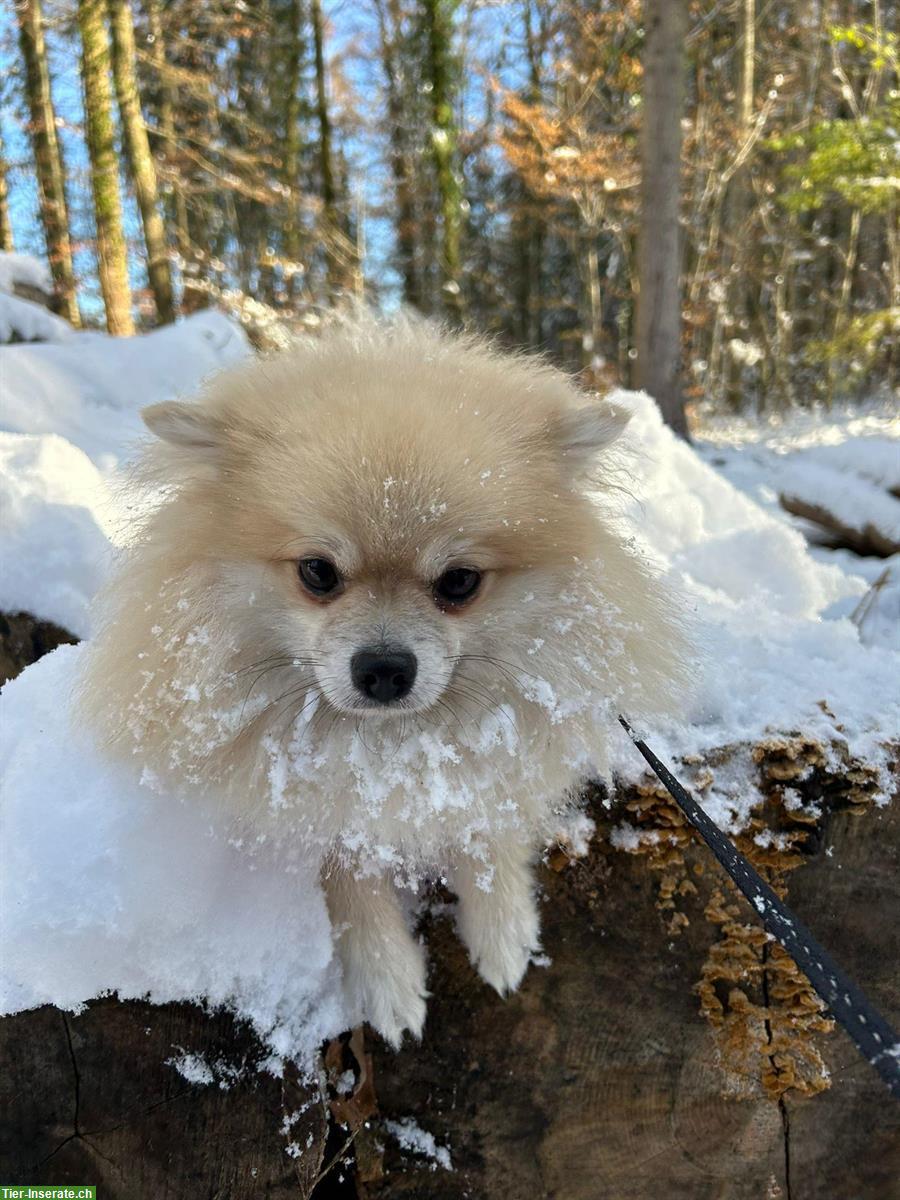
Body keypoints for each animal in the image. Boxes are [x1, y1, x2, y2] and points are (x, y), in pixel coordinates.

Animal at [79, 319, 681, 1051]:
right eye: (317, 572)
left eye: (459, 582)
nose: (386, 667)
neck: (391, 745)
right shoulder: (321, 804)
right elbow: (351, 881)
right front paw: (387, 981)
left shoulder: (495, 752)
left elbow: (488, 823)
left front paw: (502, 930)